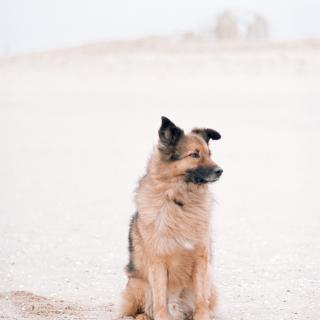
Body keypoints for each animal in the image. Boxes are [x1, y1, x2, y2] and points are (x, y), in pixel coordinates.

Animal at [120, 116, 222, 320]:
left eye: (209, 153)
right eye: (194, 154)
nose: (220, 170)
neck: (180, 201)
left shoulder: (201, 259)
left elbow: (201, 299)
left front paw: (201, 316)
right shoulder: (157, 261)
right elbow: (159, 299)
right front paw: (160, 315)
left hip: (210, 283)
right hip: (138, 285)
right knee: (137, 310)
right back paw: (143, 316)